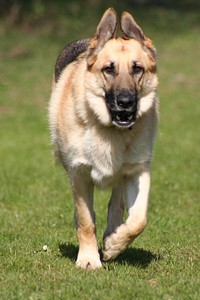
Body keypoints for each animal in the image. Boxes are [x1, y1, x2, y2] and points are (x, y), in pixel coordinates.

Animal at [48, 7, 158, 270]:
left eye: (137, 69)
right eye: (109, 69)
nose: (126, 102)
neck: (110, 131)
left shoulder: (138, 170)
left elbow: (139, 219)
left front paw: (114, 245)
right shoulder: (78, 174)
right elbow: (86, 220)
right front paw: (88, 259)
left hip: (122, 175)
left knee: (116, 205)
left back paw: (112, 236)